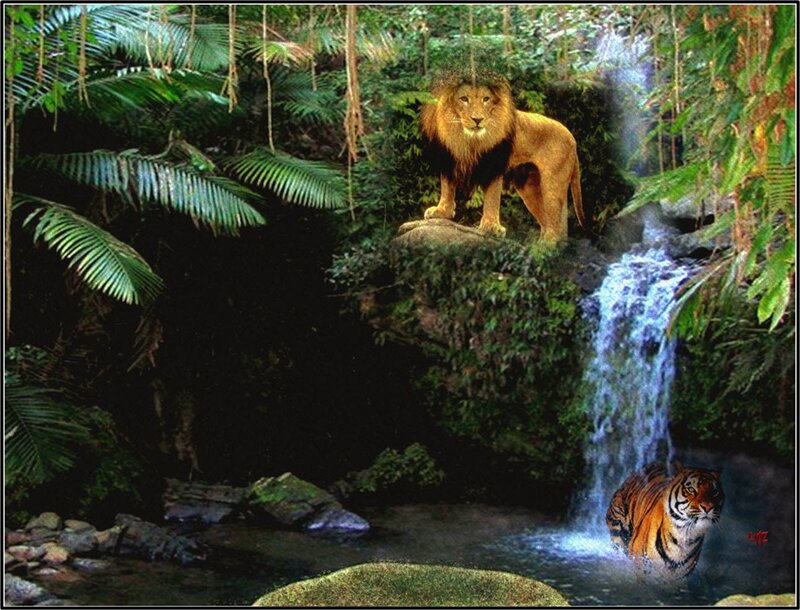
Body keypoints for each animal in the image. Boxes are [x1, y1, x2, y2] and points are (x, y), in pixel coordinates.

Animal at [420, 75, 585, 241]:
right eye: (464, 99)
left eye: (486, 99)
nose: (478, 119)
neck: (468, 139)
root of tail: (572, 137)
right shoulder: (448, 159)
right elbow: (447, 188)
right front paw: (442, 212)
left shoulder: (494, 165)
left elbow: (492, 198)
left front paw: (491, 227)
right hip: (530, 187)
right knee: (547, 223)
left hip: (552, 184)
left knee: (555, 227)